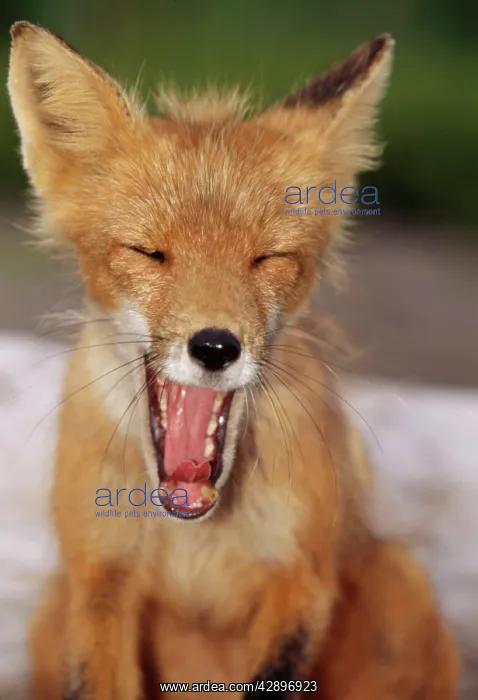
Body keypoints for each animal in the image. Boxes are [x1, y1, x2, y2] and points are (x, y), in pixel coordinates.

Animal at [7, 21, 460, 700]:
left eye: (266, 258)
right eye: (149, 252)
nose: (216, 346)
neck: (196, 536)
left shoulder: (301, 579)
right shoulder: (99, 576)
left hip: (400, 585)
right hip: (49, 612)